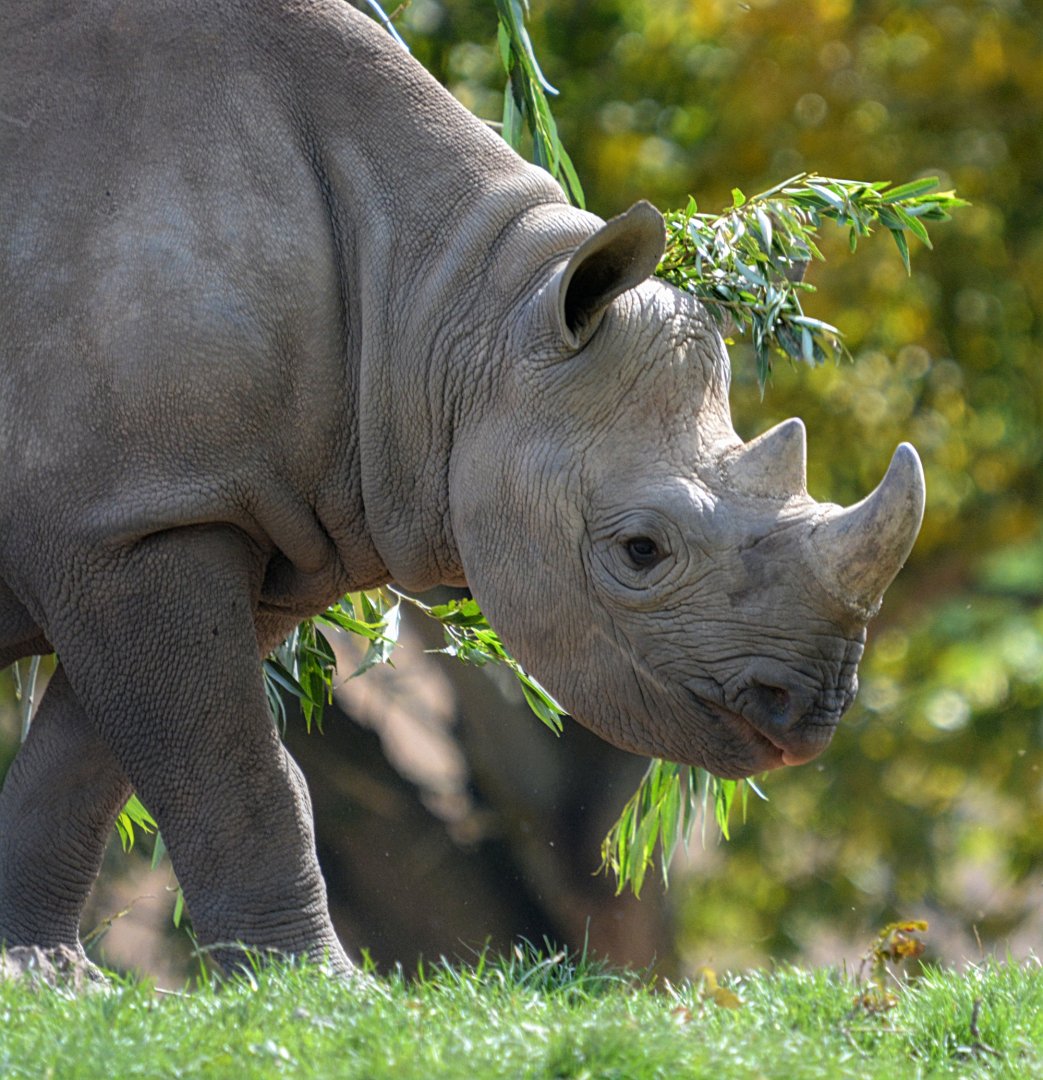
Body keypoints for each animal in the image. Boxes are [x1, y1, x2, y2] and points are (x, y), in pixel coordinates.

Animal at [0, 0, 925, 975]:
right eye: (640, 550)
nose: (814, 709)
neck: (444, 303)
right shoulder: (139, 519)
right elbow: (228, 762)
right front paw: (322, 985)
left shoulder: (203, 521)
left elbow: (94, 764)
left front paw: (44, 977)